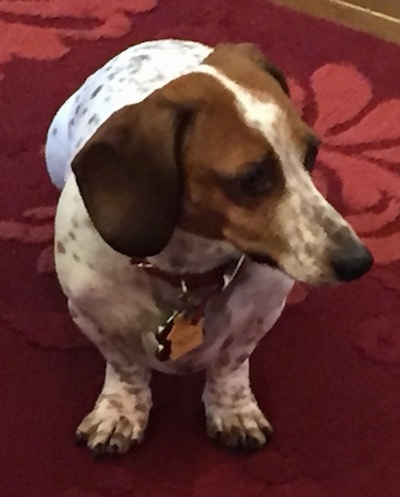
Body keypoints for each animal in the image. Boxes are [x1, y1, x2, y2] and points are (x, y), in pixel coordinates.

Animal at [45, 38, 374, 456]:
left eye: (312, 153)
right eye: (251, 178)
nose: (359, 262)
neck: (188, 272)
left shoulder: (259, 315)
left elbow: (230, 365)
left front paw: (233, 409)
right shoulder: (93, 317)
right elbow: (126, 368)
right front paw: (120, 410)